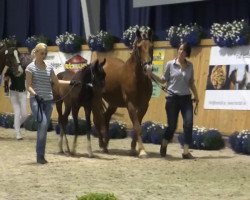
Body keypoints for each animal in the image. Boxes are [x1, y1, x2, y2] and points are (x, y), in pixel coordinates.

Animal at [96, 30, 153, 158]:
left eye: (151, 46)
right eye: (139, 47)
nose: (148, 67)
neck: (137, 78)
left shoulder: (144, 106)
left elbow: (138, 125)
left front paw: (133, 148)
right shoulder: (130, 104)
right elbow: (137, 126)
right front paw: (142, 150)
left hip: (113, 103)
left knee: (106, 117)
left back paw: (105, 145)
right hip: (96, 99)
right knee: (98, 119)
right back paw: (102, 145)